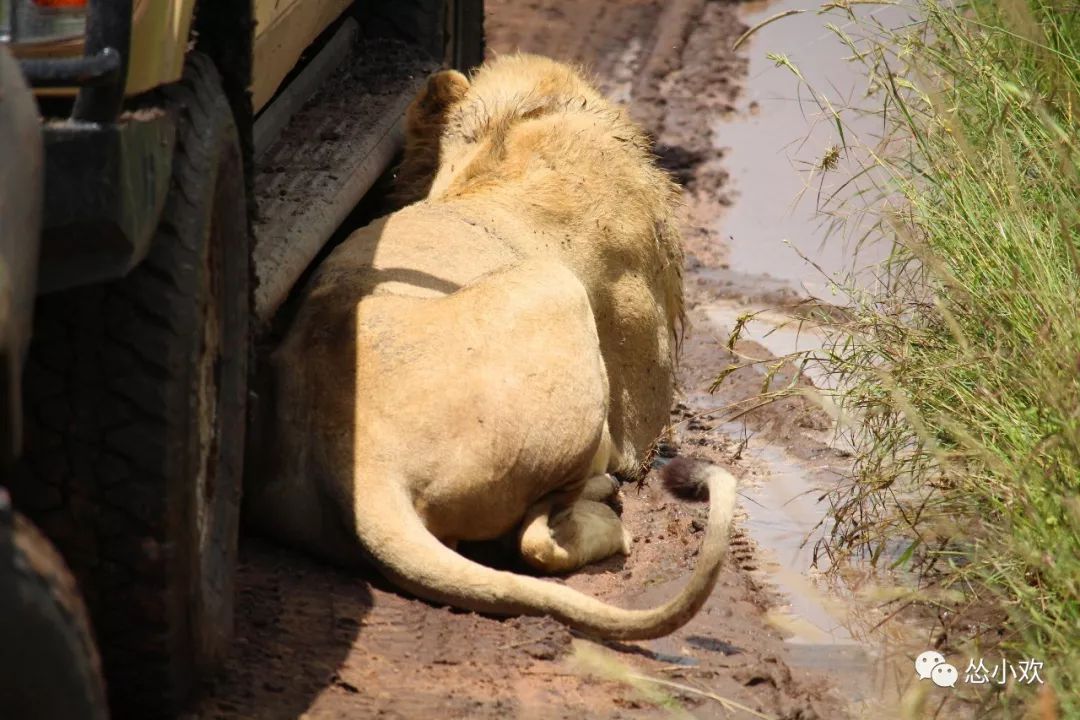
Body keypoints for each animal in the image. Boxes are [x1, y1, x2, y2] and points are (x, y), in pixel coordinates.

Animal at [246, 56, 738, 643]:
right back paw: (607, 514)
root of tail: (364, 470)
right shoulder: (642, 418)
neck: (505, 151)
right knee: (538, 541)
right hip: (555, 288)